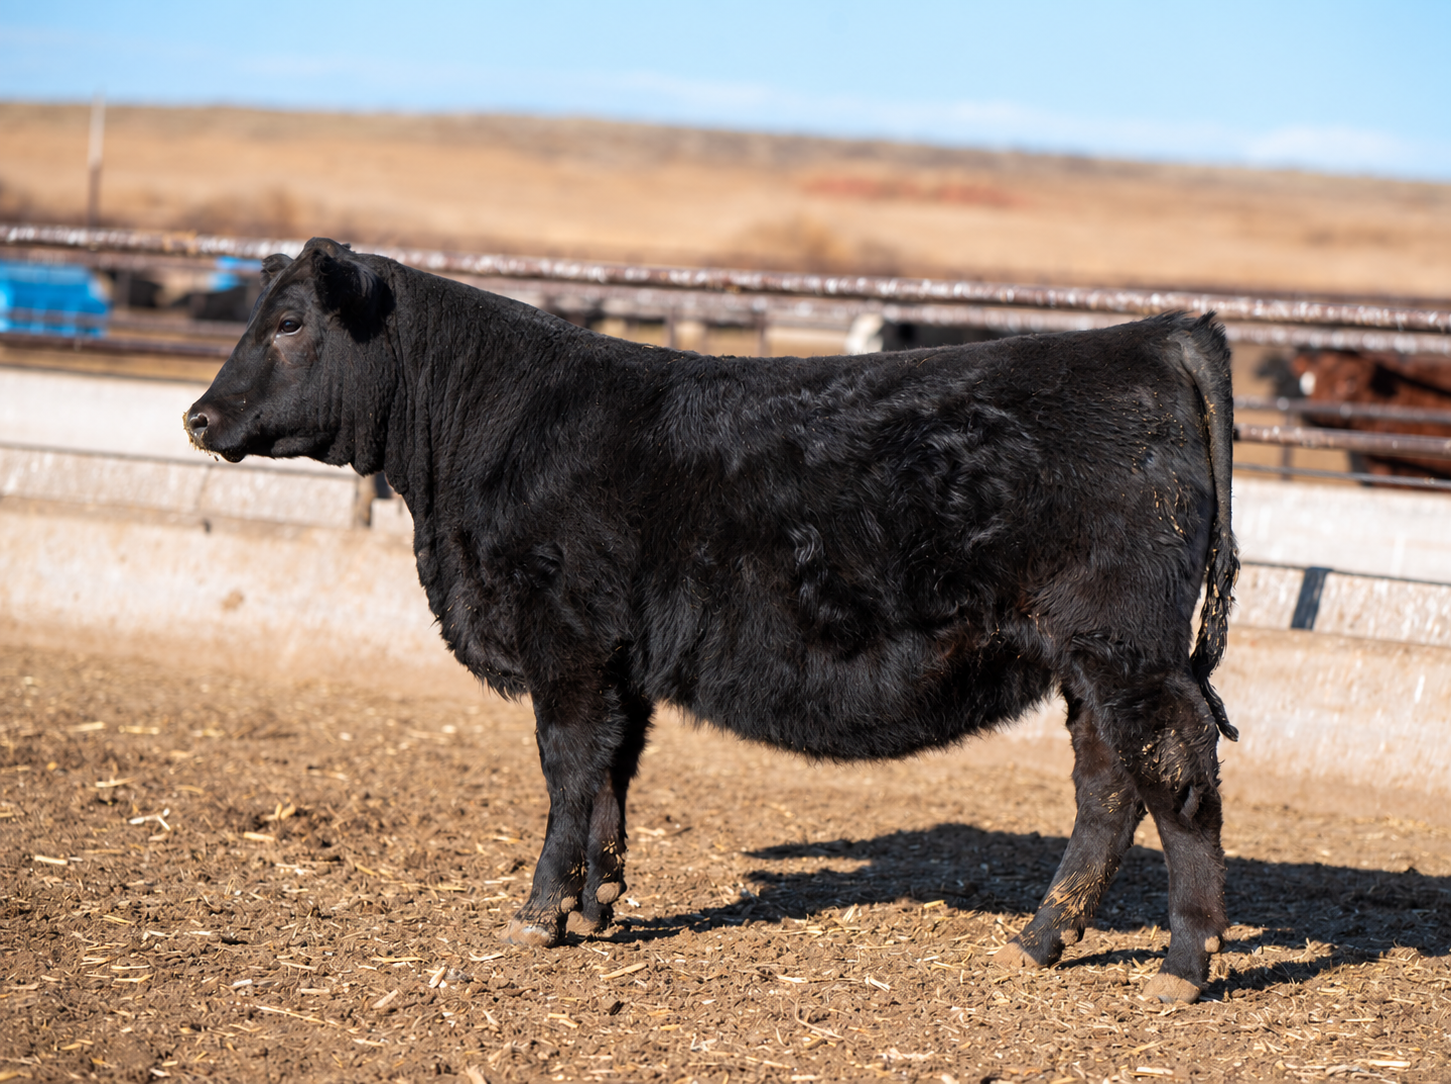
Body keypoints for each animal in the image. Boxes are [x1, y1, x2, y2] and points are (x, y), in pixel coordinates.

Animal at [184, 239, 1238, 1004]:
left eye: (288, 322)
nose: (196, 418)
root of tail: (1156, 335)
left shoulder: (565, 643)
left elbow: (567, 773)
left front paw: (539, 913)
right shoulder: (618, 659)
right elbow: (612, 775)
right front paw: (598, 902)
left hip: (1127, 651)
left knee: (1176, 779)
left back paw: (1183, 964)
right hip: (1087, 660)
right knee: (1107, 789)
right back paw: (1040, 940)